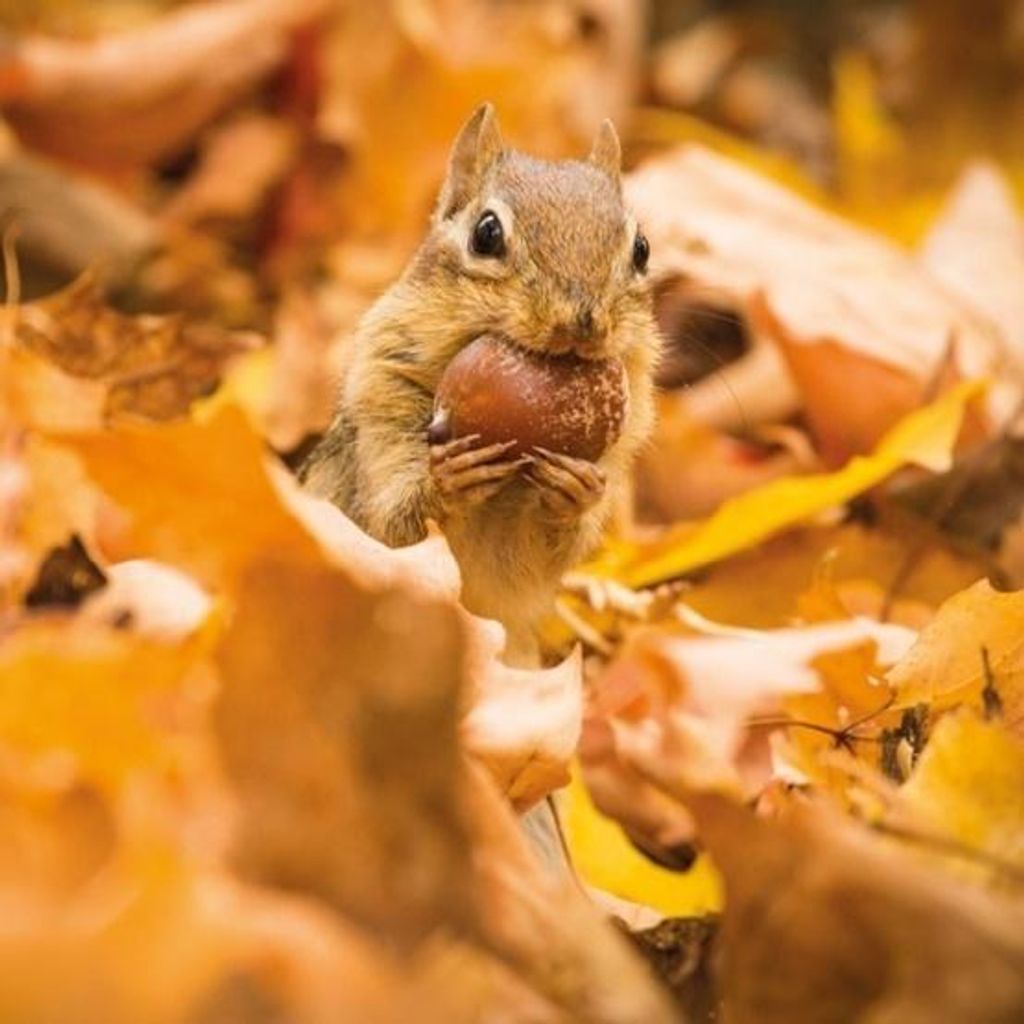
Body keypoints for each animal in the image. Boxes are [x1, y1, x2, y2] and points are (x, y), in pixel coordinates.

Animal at [301, 104, 659, 665]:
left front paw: (578, 491)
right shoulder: (381, 400)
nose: (582, 322)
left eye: (642, 249)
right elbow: (393, 524)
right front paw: (448, 478)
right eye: (486, 234)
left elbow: (552, 554)